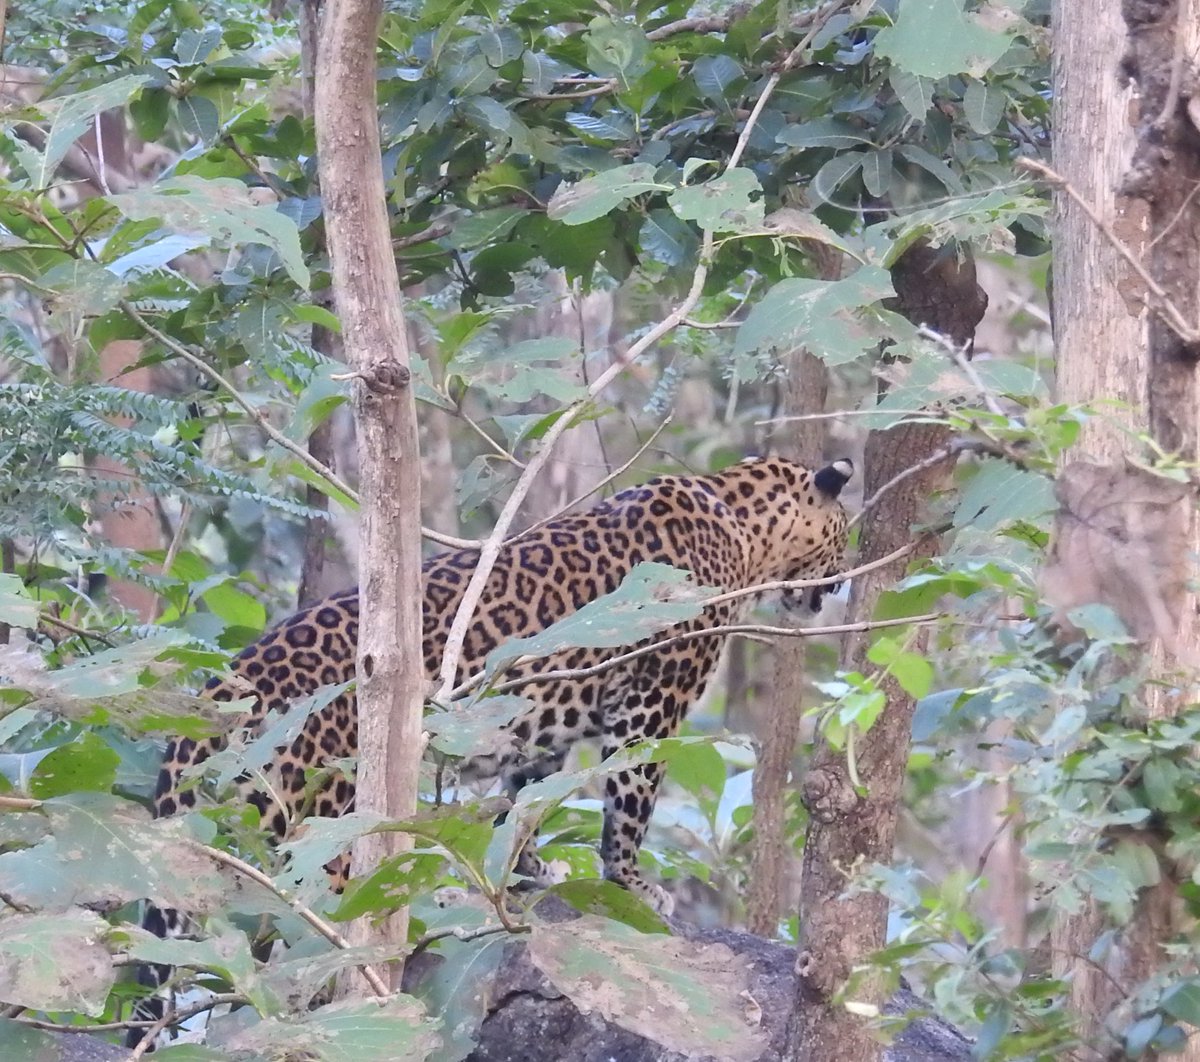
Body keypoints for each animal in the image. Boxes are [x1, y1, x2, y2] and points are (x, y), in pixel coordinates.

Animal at [130, 455, 852, 1041]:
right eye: (845, 537)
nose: (843, 583)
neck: (738, 519)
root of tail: (214, 698)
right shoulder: (654, 700)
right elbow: (630, 803)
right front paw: (635, 885)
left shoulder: (536, 724)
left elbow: (526, 800)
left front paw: (530, 874)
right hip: (323, 822)